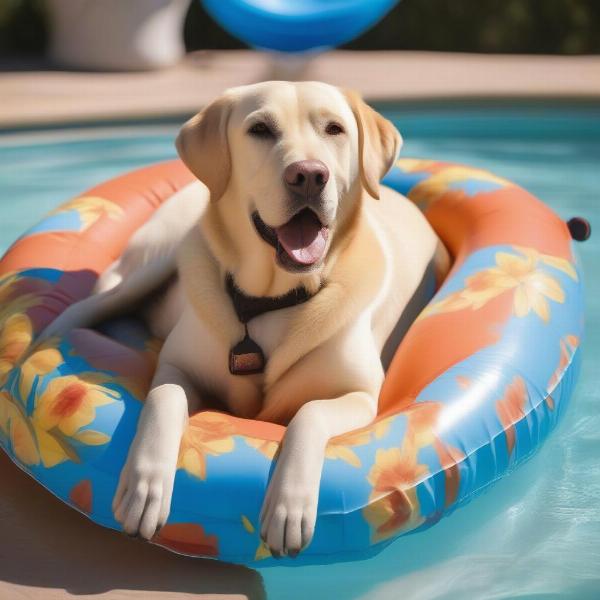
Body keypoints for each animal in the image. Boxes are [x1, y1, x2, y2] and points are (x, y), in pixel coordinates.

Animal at [41, 81, 446, 556]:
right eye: (260, 130)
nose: (309, 175)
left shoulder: (360, 396)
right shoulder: (176, 366)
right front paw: (145, 487)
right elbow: (163, 399)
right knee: (90, 304)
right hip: (164, 254)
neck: (270, 300)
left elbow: (309, 413)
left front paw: (289, 506)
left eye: (334, 129)